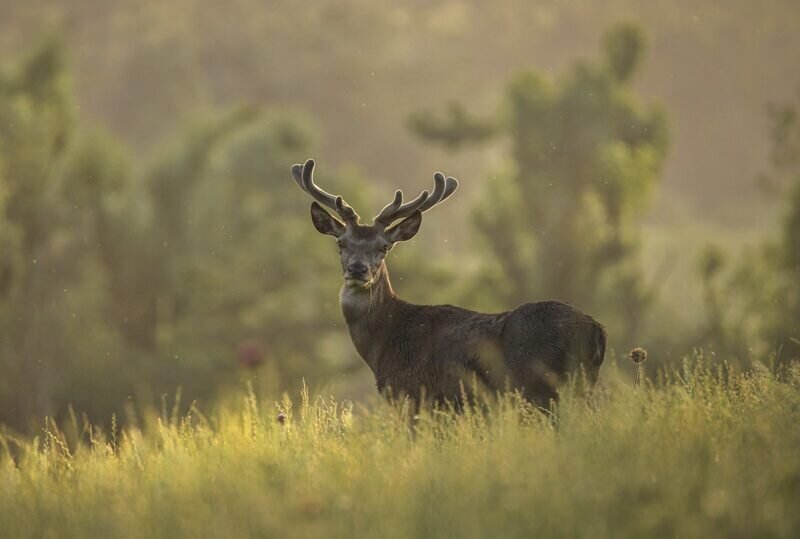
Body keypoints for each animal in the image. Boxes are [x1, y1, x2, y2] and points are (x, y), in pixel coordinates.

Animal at [294, 159, 608, 410]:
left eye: (384, 247)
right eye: (341, 243)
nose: (358, 270)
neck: (384, 343)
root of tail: (596, 331)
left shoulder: (412, 394)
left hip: (543, 386)